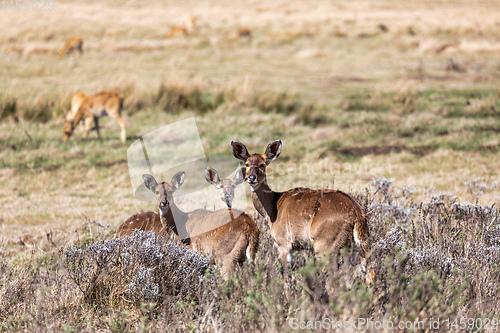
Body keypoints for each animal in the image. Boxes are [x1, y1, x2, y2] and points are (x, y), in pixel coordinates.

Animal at [116, 170, 258, 276]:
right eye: (156, 191)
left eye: (171, 191)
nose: (163, 202)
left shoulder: (191, 250)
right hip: (249, 255)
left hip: (225, 254)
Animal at [230, 140, 376, 282]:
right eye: (247, 163)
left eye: (262, 164)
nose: (251, 178)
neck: (273, 206)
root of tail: (356, 212)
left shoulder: (284, 244)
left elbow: (286, 276)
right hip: (355, 247)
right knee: (369, 273)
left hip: (325, 247)